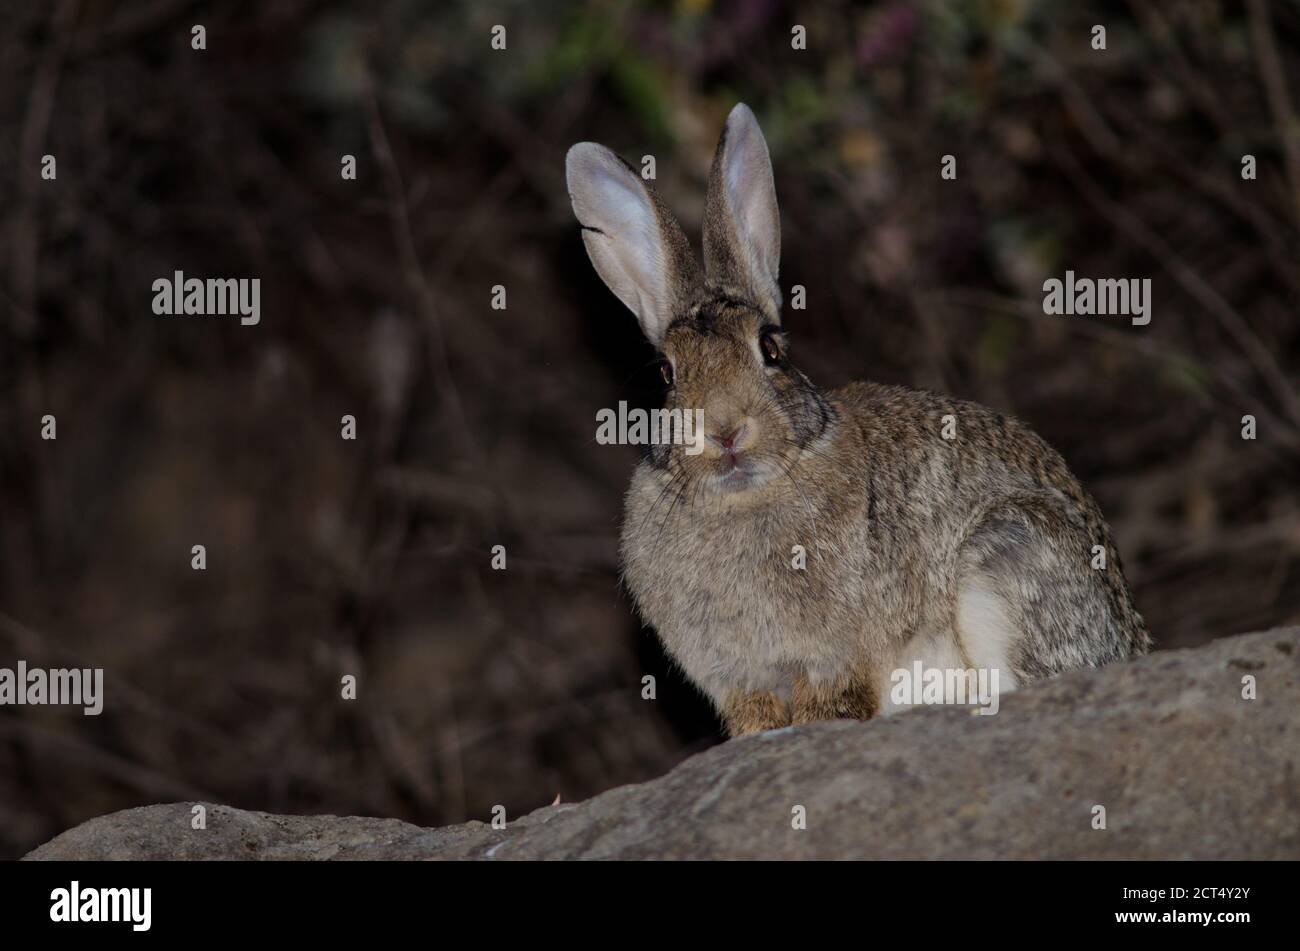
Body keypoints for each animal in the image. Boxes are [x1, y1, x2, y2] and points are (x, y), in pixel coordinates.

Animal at [565, 103, 1152, 737]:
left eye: (770, 349)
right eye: (668, 374)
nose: (724, 431)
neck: (745, 492)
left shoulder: (833, 659)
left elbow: (831, 703)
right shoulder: (743, 682)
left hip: (1009, 551)